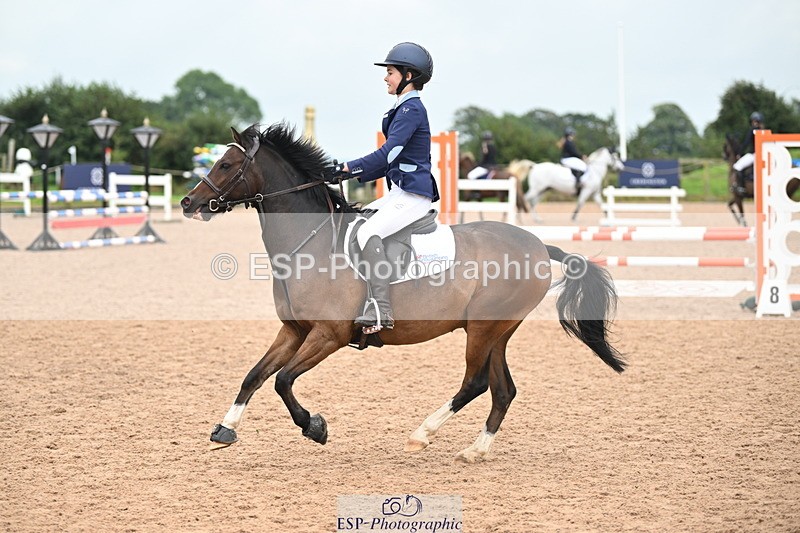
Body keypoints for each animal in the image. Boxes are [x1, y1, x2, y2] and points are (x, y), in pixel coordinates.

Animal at [180, 123, 625, 463]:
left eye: (227, 164)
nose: (188, 202)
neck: (311, 243)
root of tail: (538, 245)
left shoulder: (328, 335)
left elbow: (283, 381)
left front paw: (315, 427)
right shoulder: (294, 330)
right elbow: (255, 375)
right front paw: (224, 430)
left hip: (484, 329)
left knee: (476, 383)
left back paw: (422, 434)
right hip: (496, 331)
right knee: (502, 391)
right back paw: (475, 451)